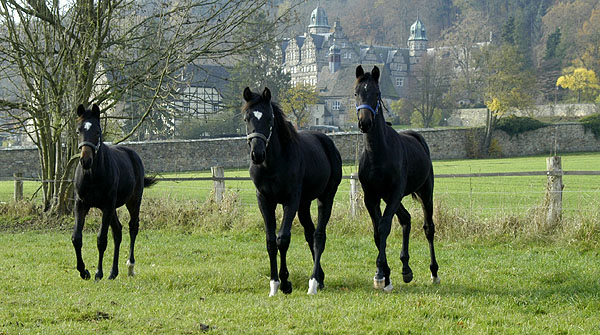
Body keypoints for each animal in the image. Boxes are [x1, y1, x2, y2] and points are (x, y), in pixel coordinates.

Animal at [71, 104, 156, 280]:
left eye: (97, 132)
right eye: (78, 131)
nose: (85, 161)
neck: (92, 175)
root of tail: (133, 155)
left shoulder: (107, 205)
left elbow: (101, 239)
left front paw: (98, 273)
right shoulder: (81, 204)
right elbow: (77, 238)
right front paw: (84, 271)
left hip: (133, 202)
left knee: (132, 227)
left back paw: (130, 267)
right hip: (113, 209)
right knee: (118, 231)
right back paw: (113, 272)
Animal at [240, 86, 342, 296]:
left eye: (269, 119)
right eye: (246, 118)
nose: (257, 154)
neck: (272, 165)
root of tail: (327, 142)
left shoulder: (291, 200)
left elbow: (283, 239)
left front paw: (286, 283)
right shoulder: (264, 200)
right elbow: (271, 241)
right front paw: (274, 284)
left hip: (325, 197)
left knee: (319, 236)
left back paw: (313, 283)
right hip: (304, 204)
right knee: (310, 234)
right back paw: (320, 278)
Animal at [354, 65, 438, 292]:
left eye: (376, 93)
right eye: (356, 93)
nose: (365, 123)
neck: (378, 154)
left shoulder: (393, 193)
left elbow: (384, 227)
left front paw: (380, 274)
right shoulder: (372, 197)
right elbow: (377, 232)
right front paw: (385, 275)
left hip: (424, 192)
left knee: (428, 227)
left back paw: (434, 272)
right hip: (393, 197)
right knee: (406, 219)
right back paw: (406, 269)